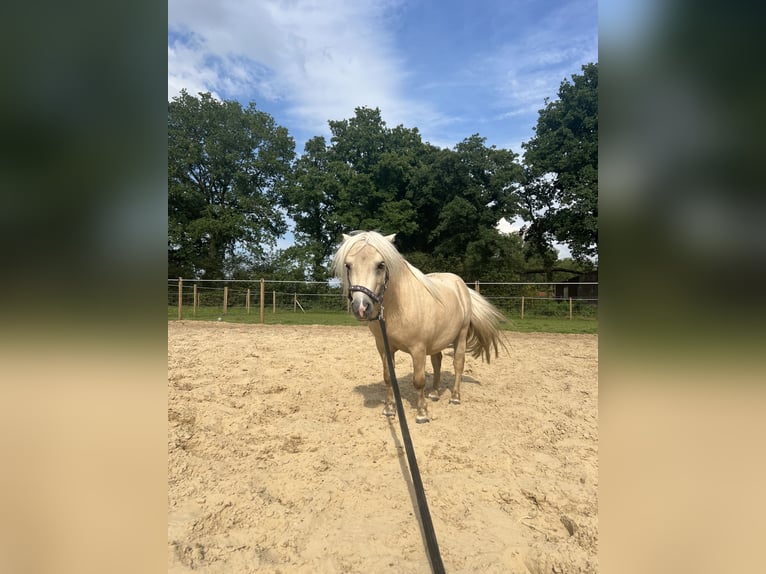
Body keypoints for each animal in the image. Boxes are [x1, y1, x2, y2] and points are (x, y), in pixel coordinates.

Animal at [332, 232, 508, 426]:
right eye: (348, 265)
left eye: (380, 265)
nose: (361, 307)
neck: (398, 306)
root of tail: (461, 286)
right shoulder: (384, 347)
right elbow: (388, 377)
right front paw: (389, 409)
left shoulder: (418, 349)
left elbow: (419, 380)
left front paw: (422, 413)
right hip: (437, 341)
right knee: (437, 362)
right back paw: (435, 393)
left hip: (460, 337)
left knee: (458, 364)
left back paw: (455, 397)